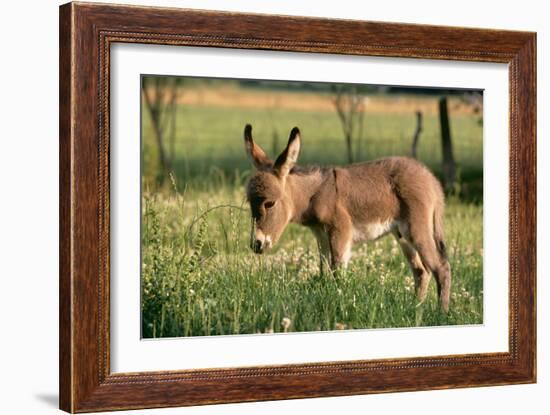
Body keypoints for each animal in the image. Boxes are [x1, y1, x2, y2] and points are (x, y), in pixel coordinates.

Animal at [245, 123, 452, 312]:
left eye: (269, 204)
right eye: (249, 203)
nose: (256, 245)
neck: (316, 194)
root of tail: (431, 180)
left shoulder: (340, 231)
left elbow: (337, 272)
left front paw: (338, 304)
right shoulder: (321, 235)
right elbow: (324, 272)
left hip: (417, 229)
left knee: (441, 267)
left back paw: (441, 313)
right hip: (402, 236)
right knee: (421, 271)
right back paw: (416, 308)